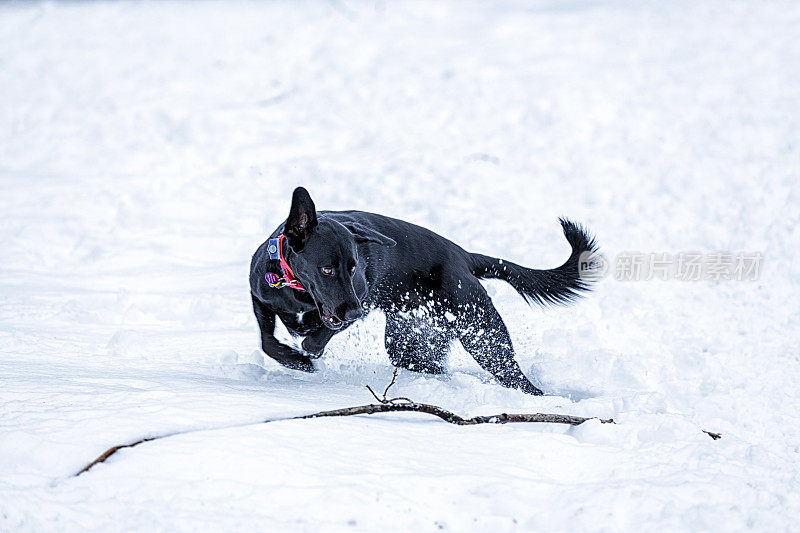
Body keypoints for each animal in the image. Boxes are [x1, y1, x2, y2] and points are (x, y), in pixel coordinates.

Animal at [247, 185, 596, 392]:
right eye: (327, 269)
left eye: (354, 267)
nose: (355, 311)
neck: (298, 290)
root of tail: (464, 256)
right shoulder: (259, 297)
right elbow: (267, 341)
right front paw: (294, 360)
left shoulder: (357, 300)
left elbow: (316, 337)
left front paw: (307, 353)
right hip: (409, 344)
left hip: (483, 333)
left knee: (518, 378)